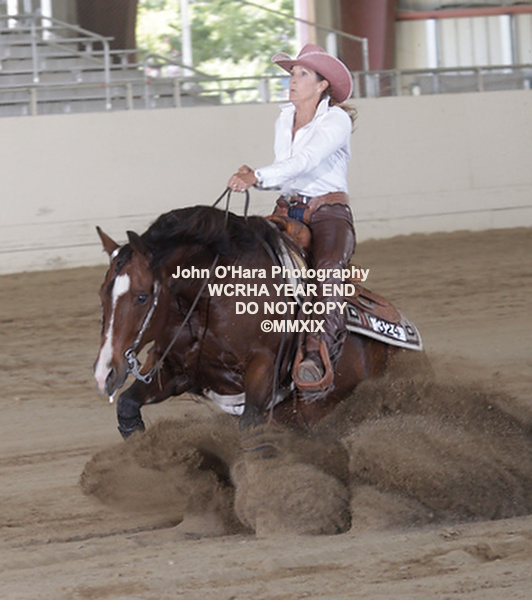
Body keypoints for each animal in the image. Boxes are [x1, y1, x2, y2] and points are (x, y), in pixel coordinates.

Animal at [94, 204, 423, 438]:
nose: (104, 373)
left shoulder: (263, 369)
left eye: (141, 296)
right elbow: (127, 407)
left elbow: (251, 431)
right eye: (102, 294)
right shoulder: (178, 369)